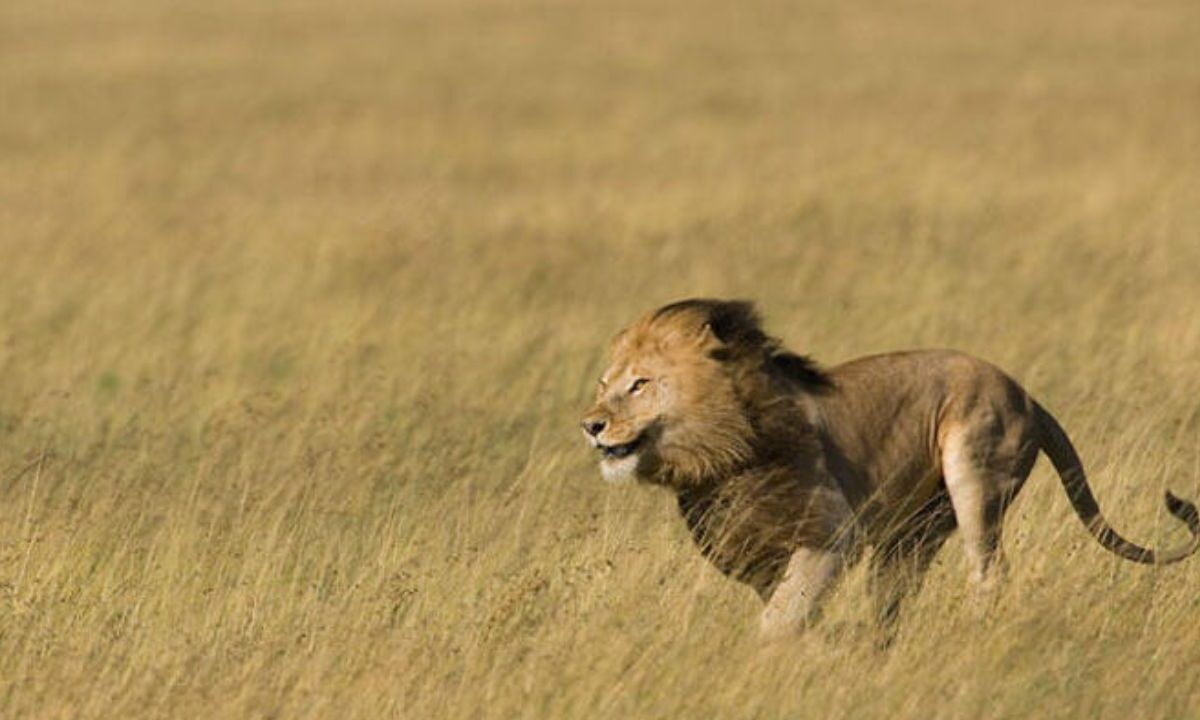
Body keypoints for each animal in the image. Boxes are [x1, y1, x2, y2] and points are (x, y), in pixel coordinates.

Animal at [580, 299, 1200, 641]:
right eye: (604, 385)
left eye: (639, 384)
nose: (590, 424)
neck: (717, 463)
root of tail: (1026, 393)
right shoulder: (756, 559)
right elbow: (789, 608)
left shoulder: (834, 533)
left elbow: (781, 617)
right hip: (912, 532)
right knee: (894, 598)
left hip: (976, 468)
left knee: (990, 570)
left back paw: (971, 636)